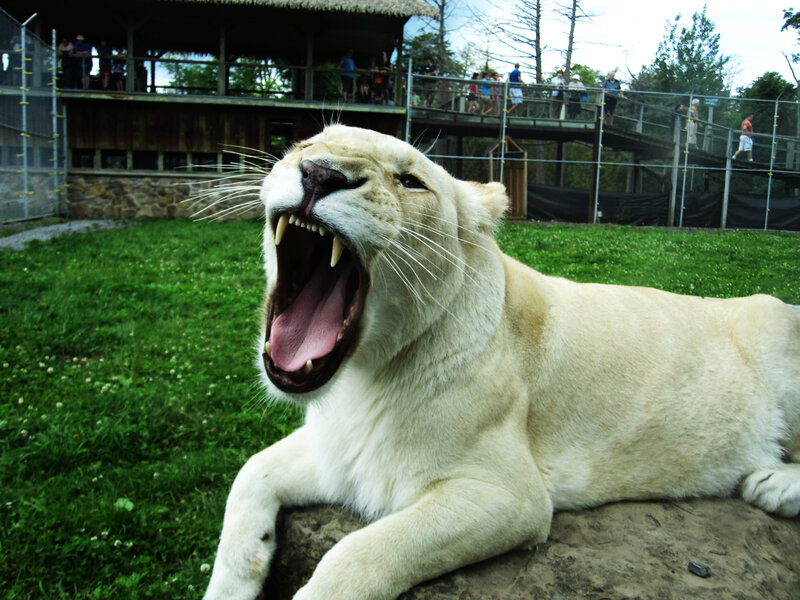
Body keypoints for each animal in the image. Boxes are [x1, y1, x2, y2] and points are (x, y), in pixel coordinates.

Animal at [203, 125, 800, 600]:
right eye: (305, 145)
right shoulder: (339, 452)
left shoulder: (510, 494)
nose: (320, 173)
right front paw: (235, 578)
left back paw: (771, 483)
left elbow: (356, 555)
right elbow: (249, 474)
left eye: (411, 181)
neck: (361, 379)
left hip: (775, 335)